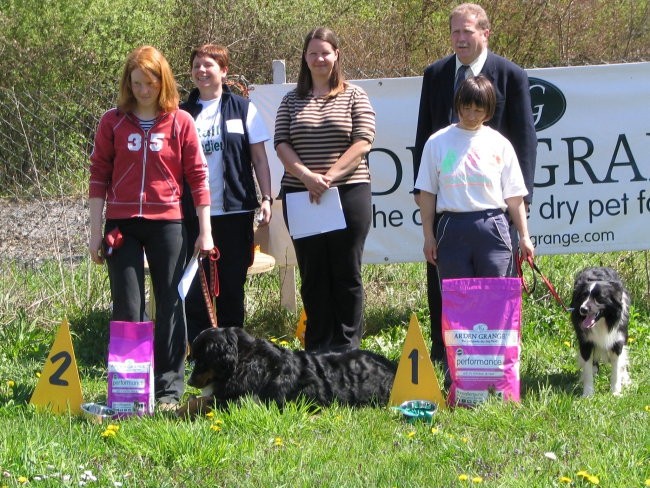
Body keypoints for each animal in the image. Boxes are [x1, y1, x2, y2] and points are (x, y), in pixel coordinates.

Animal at [182, 326, 394, 414]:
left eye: (201, 361)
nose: (190, 382)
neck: (245, 360)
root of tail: (391, 365)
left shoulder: (247, 401)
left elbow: (203, 402)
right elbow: (197, 400)